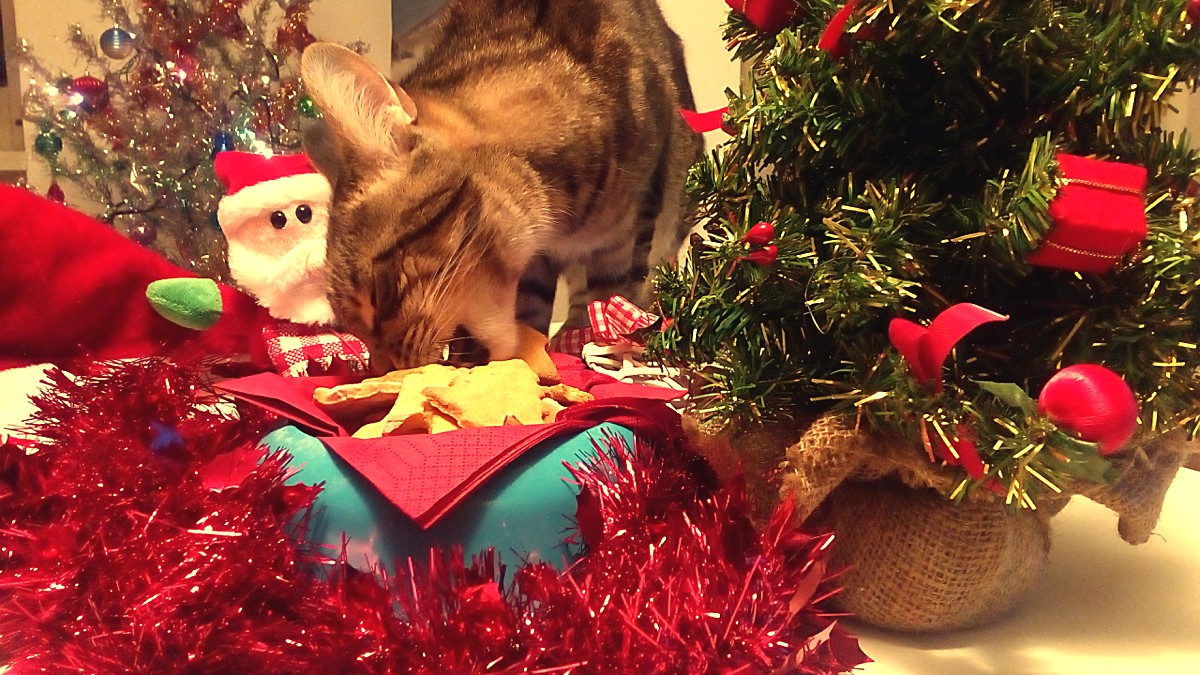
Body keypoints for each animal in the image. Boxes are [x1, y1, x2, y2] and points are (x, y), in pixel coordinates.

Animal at [298, 0, 700, 367]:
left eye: (378, 293)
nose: (385, 368)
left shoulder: (627, 236)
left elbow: (610, 301)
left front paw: (600, 353)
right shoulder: (537, 263)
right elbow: (531, 309)